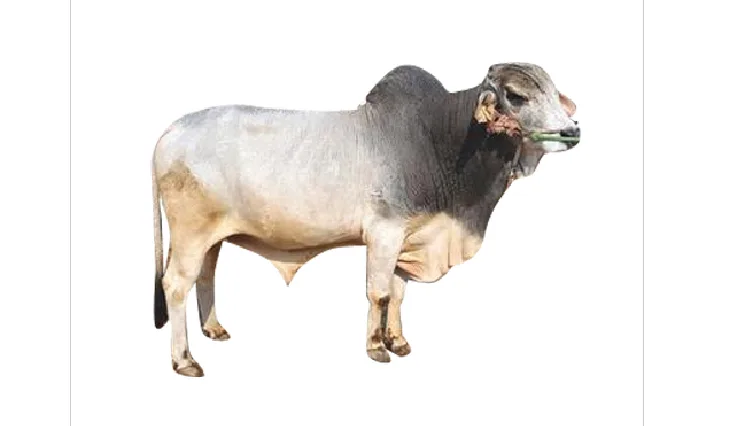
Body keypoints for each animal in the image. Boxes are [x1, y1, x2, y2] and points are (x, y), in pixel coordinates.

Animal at [151, 62, 580, 377]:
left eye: (553, 91)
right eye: (517, 96)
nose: (571, 130)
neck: (440, 142)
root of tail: (169, 133)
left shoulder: (409, 238)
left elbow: (399, 293)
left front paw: (398, 341)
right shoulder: (383, 235)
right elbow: (380, 293)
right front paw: (376, 347)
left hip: (212, 237)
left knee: (205, 276)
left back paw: (214, 329)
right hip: (190, 234)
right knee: (175, 284)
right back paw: (184, 360)